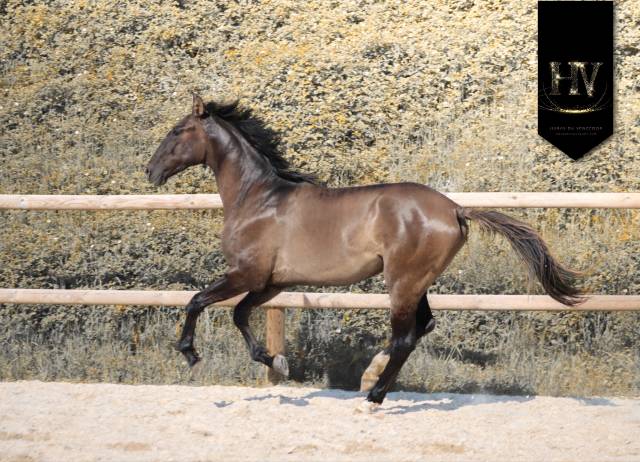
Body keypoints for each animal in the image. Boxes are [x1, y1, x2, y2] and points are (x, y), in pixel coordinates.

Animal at [146, 94, 584, 409]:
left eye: (178, 130)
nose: (151, 172)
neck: (258, 199)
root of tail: (456, 209)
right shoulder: (271, 283)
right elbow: (238, 314)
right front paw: (277, 362)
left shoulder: (247, 274)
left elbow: (196, 300)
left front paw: (190, 354)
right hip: (416, 281)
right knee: (421, 327)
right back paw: (372, 381)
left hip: (402, 280)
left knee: (406, 336)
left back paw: (373, 396)